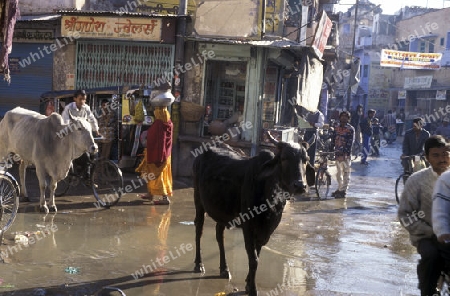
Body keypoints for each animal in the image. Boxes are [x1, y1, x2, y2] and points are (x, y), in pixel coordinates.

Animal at [192, 139, 308, 296]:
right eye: (284, 158)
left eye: (305, 159)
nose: (300, 185)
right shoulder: (248, 226)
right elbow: (253, 259)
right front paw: (252, 289)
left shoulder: (266, 230)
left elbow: (256, 254)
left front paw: (247, 283)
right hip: (198, 201)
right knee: (199, 230)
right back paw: (199, 264)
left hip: (222, 212)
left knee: (219, 235)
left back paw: (224, 269)